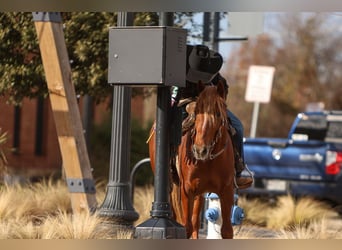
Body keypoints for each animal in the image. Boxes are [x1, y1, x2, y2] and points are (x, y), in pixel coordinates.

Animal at [148, 81, 236, 238]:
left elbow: (226, 230)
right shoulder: (187, 190)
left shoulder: (226, 191)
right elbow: (186, 227)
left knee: (195, 223)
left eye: (218, 113)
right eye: (196, 113)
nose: (200, 150)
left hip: (199, 195)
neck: (209, 161)